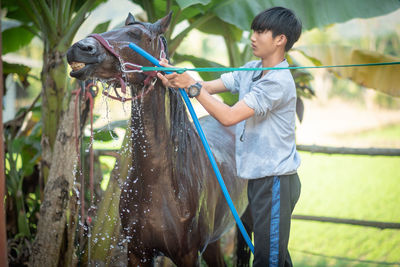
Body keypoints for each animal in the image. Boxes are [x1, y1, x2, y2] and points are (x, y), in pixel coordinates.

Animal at [67, 11, 252, 266]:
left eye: (135, 34)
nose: (80, 48)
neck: (162, 182)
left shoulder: (188, 255)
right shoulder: (137, 252)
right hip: (214, 241)